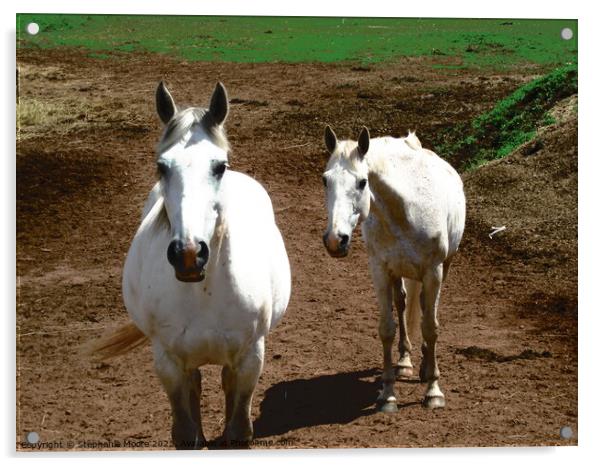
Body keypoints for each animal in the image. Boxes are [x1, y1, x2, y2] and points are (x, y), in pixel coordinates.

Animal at [90, 81, 292, 448]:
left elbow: (238, 432)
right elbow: (185, 434)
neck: (203, 292)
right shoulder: (168, 363)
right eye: (162, 166)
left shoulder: (250, 358)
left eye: (219, 166)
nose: (188, 253)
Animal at [318, 124, 464, 412]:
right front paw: (387, 395)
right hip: (398, 273)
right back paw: (405, 362)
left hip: (443, 267)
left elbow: (430, 327)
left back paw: (425, 366)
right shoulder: (381, 271)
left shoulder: (433, 271)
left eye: (362, 182)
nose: (335, 240)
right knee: (403, 303)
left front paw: (433, 391)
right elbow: (387, 328)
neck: (407, 210)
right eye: (325, 180)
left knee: (425, 309)